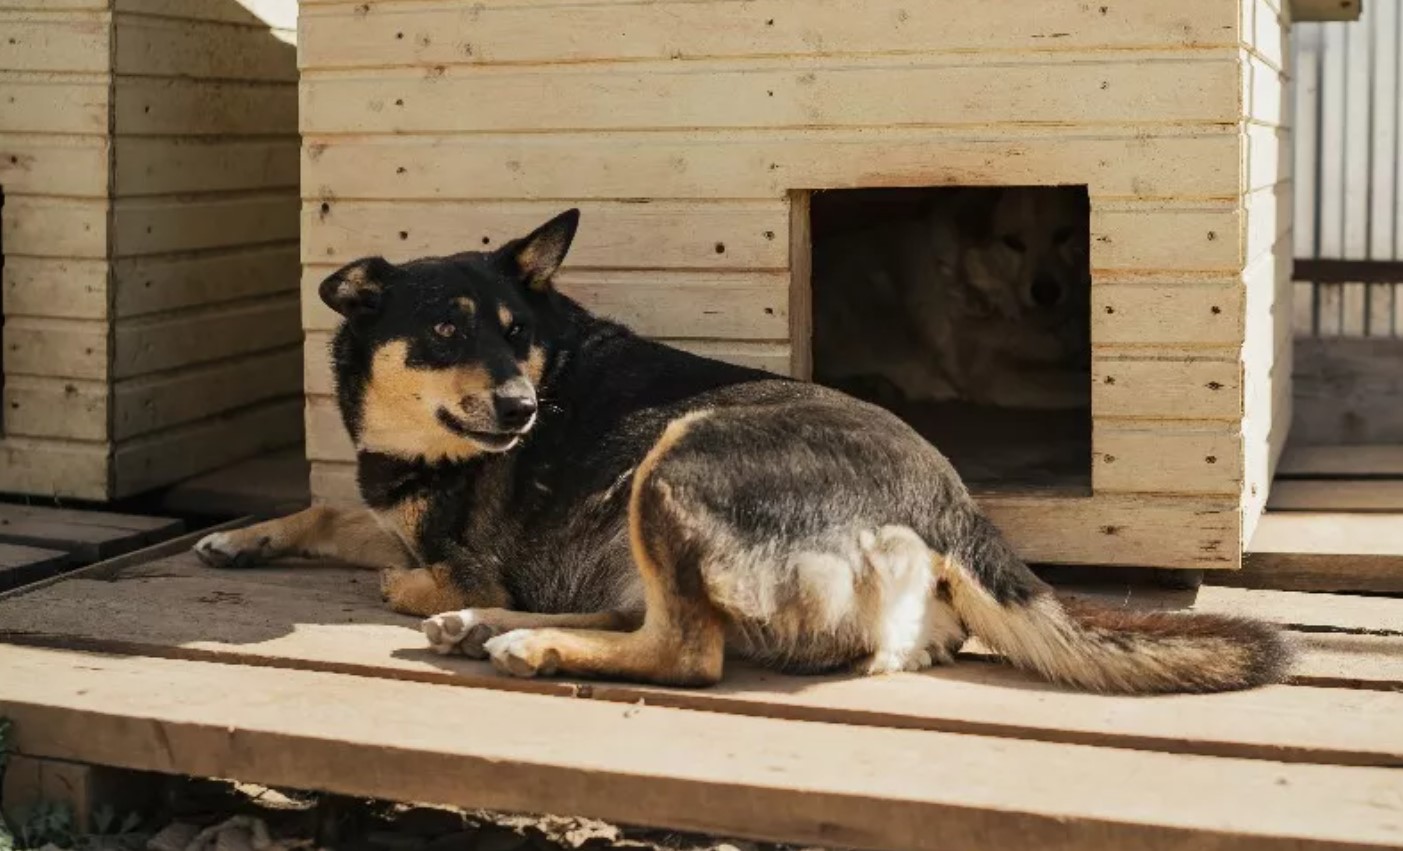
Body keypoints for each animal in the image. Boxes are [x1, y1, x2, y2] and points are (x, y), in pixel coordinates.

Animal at [195, 210, 1290, 695]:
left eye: (516, 333)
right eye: (445, 331)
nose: (520, 407)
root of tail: (951, 505)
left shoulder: (465, 551)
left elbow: (400, 566)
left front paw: (411, 585)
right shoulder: (393, 507)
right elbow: (330, 507)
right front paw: (243, 536)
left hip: (675, 459)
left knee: (689, 645)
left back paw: (521, 637)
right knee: (656, 614)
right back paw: (486, 628)